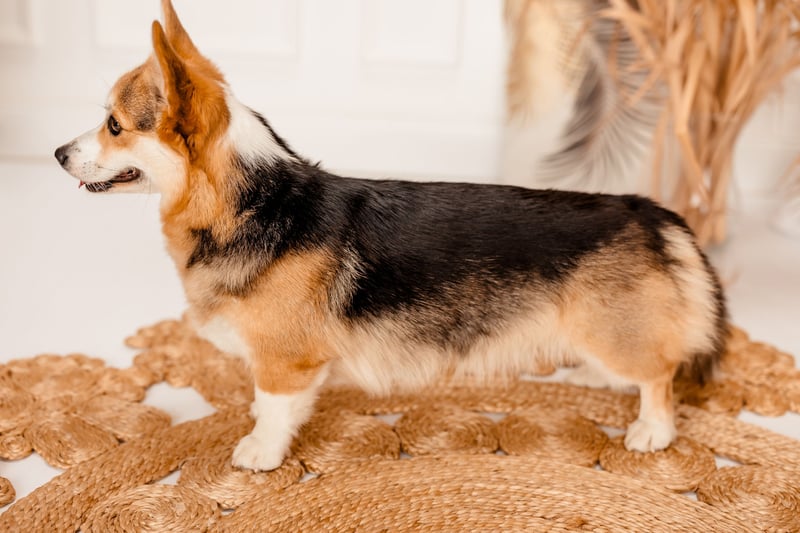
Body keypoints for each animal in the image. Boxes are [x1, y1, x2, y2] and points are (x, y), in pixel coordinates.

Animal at [54, 0, 727, 471]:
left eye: (114, 125)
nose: (59, 153)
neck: (252, 205)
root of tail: (648, 210)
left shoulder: (287, 361)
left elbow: (273, 408)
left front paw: (258, 453)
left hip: (616, 334)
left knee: (660, 375)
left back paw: (651, 431)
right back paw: (591, 377)